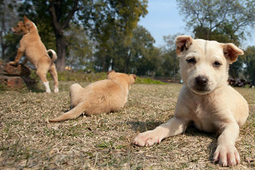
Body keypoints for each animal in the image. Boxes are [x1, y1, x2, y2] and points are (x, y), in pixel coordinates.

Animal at [133, 35, 249, 167]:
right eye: (191, 60)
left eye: (217, 63)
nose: (201, 80)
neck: (200, 98)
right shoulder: (180, 120)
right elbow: (164, 126)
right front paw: (149, 134)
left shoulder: (230, 123)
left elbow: (225, 136)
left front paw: (227, 151)